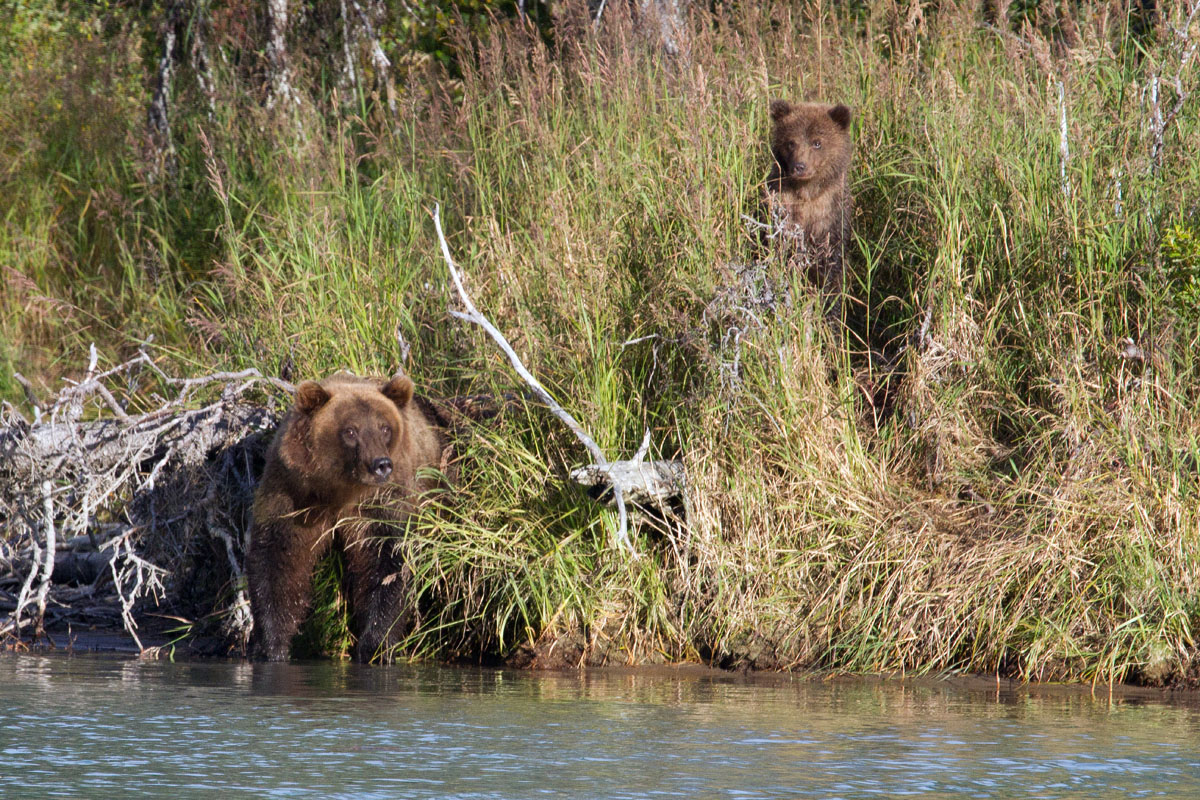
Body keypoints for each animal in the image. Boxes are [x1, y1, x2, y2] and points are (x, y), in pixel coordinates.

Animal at [245, 372, 448, 663]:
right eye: (350, 431)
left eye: (384, 428)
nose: (381, 464)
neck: (340, 491)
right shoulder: (292, 493)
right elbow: (277, 560)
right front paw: (270, 646)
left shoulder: (382, 501)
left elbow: (388, 563)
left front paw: (376, 645)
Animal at [766, 99, 854, 307]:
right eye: (791, 142)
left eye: (817, 142)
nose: (800, 166)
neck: (807, 192)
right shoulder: (782, 205)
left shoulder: (830, 211)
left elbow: (830, 262)